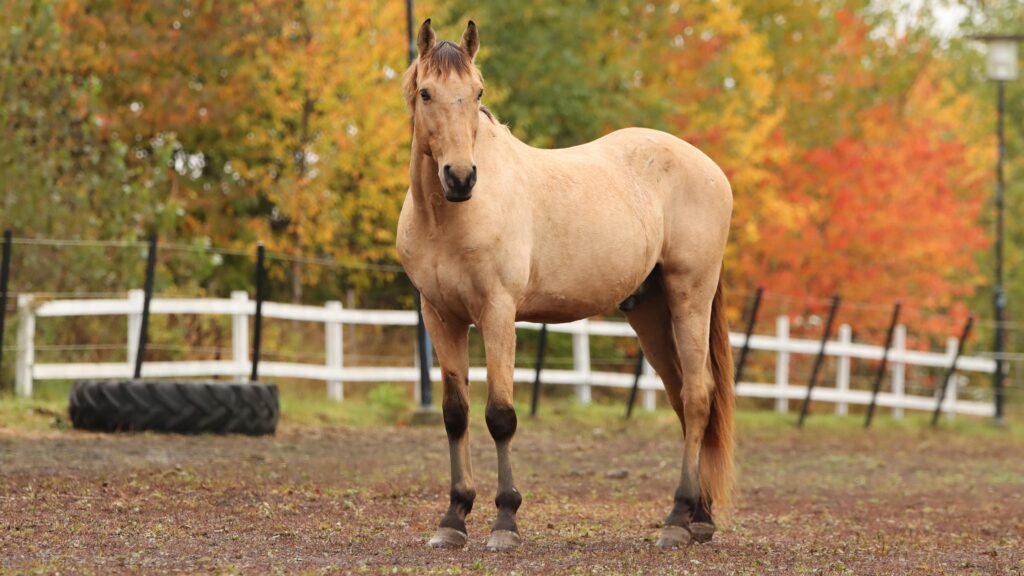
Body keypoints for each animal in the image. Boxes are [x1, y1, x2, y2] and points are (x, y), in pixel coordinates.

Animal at [397, 19, 735, 551]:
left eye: (478, 91)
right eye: (426, 92)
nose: (461, 177)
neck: (447, 217)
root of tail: (711, 169)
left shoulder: (498, 313)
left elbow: (500, 415)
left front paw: (505, 522)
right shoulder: (440, 316)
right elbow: (455, 414)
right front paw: (453, 518)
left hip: (690, 297)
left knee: (698, 397)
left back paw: (677, 520)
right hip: (650, 312)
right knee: (684, 398)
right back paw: (699, 517)